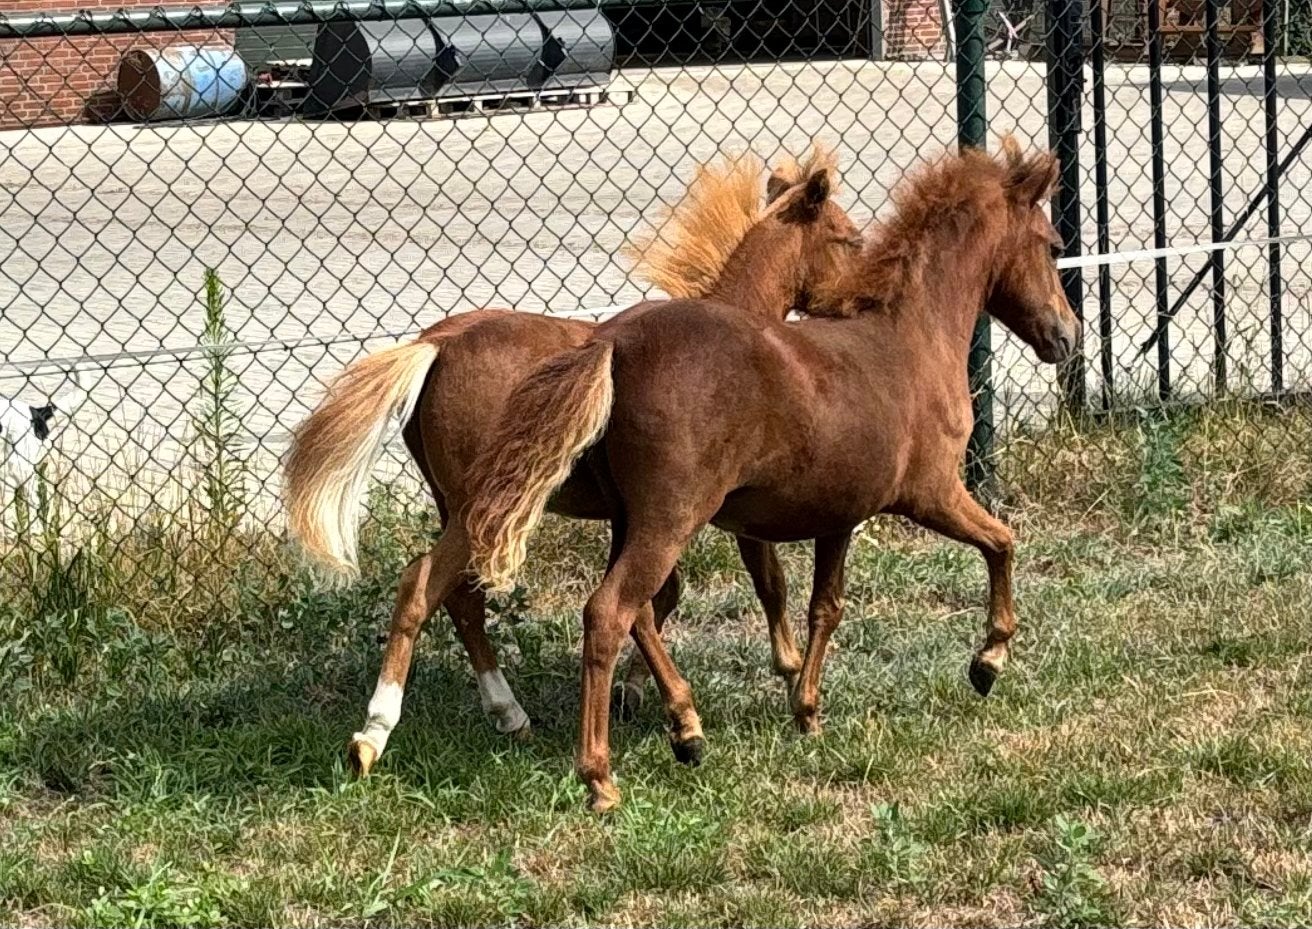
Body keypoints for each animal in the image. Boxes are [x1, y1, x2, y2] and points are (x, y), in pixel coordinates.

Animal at [280, 147, 864, 778]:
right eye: (850, 239)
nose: (868, 301)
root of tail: (432, 347)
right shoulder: (713, 509)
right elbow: (761, 582)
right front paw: (780, 677)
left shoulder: (634, 517)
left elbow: (656, 599)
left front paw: (643, 695)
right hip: (480, 508)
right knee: (422, 586)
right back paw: (375, 734)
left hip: (462, 508)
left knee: (461, 598)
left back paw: (508, 714)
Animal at [464, 138, 1080, 812]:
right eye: (1052, 243)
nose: (1067, 336)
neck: (912, 337)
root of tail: (613, 344)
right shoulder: (934, 493)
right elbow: (1002, 542)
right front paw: (987, 663)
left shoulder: (839, 517)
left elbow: (823, 607)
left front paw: (807, 712)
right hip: (669, 520)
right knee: (608, 612)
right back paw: (601, 777)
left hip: (629, 521)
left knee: (642, 612)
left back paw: (686, 733)